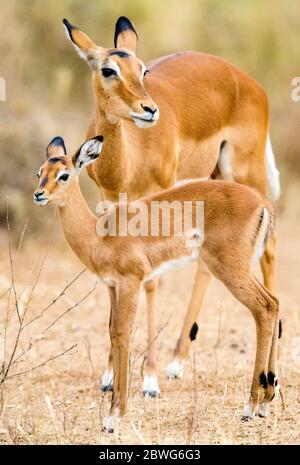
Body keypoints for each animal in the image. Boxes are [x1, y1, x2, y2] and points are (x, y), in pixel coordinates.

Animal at [34, 135, 280, 432]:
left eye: (64, 175)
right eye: (40, 172)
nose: (39, 194)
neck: (99, 235)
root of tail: (263, 205)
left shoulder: (131, 282)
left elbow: (123, 333)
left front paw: (114, 415)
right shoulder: (112, 287)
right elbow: (112, 332)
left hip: (230, 269)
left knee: (263, 308)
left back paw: (250, 406)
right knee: (274, 303)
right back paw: (266, 400)